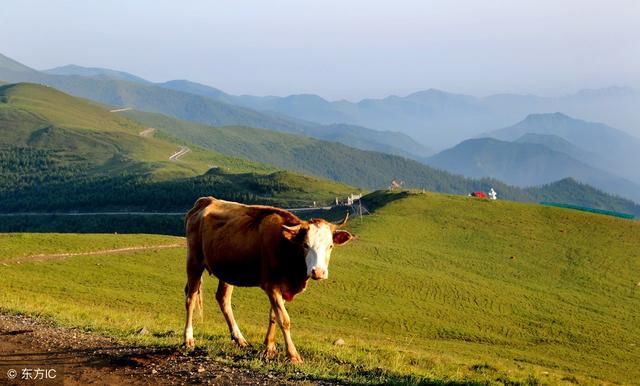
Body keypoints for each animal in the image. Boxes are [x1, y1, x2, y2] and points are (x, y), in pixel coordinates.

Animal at [181, 198, 356, 364]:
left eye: (330, 246)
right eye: (306, 245)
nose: (318, 272)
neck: (287, 248)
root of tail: (205, 201)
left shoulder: (282, 287)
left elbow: (273, 316)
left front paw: (269, 347)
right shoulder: (271, 285)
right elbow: (284, 319)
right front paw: (293, 355)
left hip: (227, 271)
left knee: (223, 298)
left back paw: (239, 338)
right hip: (194, 261)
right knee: (191, 299)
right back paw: (188, 339)